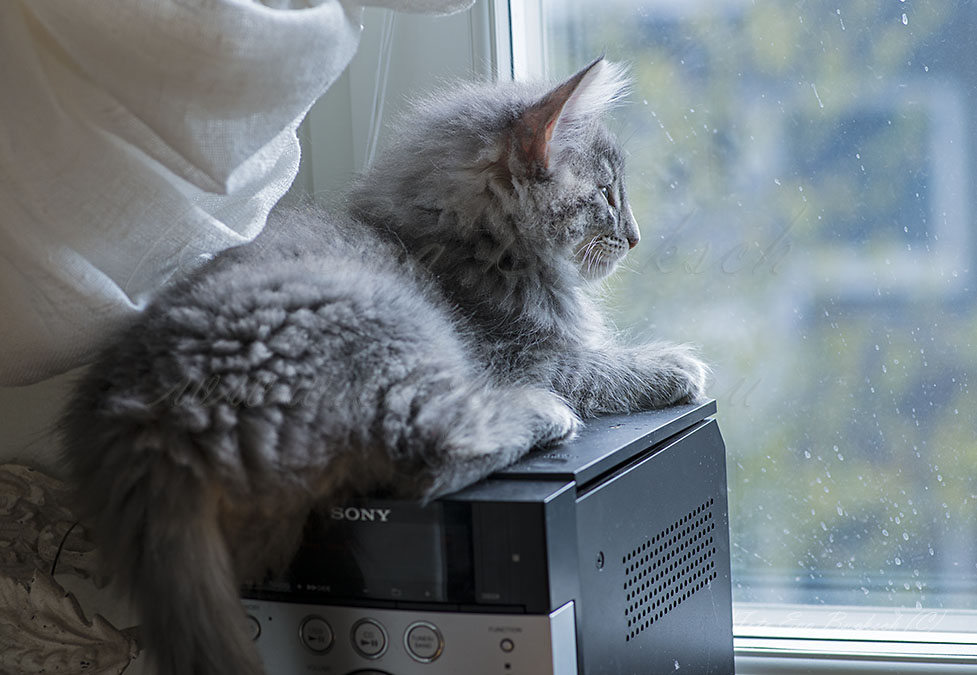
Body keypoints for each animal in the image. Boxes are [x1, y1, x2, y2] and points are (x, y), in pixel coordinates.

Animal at [61, 59, 704, 675]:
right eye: (606, 193)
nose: (635, 237)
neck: (468, 243)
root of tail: (148, 412)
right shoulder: (523, 355)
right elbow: (600, 368)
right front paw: (673, 365)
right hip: (393, 335)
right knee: (431, 451)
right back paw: (543, 416)